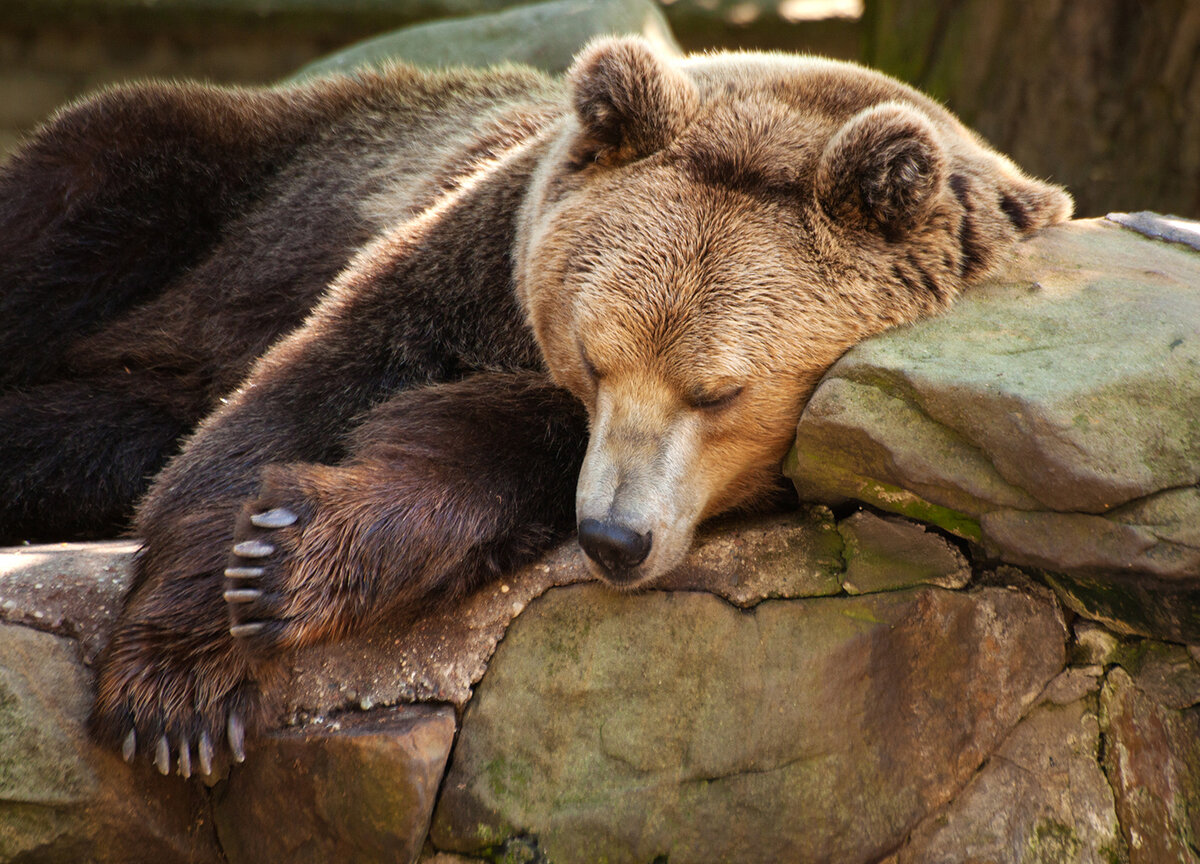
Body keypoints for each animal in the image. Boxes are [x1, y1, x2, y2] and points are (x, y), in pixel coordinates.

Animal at [0, 38, 1070, 777]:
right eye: (594, 359)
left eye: (718, 391)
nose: (615, 538)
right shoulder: (458, 262)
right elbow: (296, 395)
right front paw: (181, 688)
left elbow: (479, 450)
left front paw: (294, 549)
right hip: (243, 171)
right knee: (85, 188)